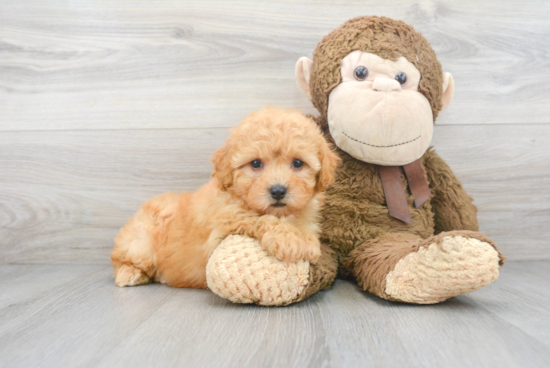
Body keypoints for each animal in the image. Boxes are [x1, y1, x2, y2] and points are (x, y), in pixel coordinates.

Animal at [111, 105, 340, 288]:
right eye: (255, 163)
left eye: (298, 163)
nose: (277, 191)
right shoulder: (223, 227)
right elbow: (258, 218)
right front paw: (288, 239)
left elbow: (303, 227)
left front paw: (307, 240)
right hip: (141, 241)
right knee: (120, 258)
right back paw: (129, 274)